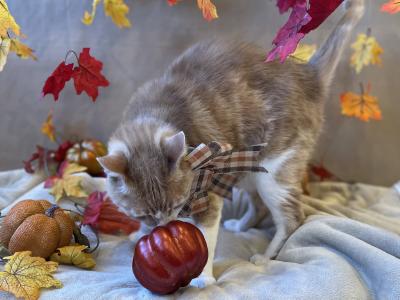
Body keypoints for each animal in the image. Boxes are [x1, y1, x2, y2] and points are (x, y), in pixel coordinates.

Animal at [98, 0, 364, 290]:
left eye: (176, 204)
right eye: (143, 215)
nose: (164, 226)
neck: (156, 111)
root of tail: (308, 74)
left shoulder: (208, 193)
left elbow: (206, 235)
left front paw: (203, 277)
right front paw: (141, 233)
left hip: (274, 173)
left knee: (293, 218)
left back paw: (267, 257)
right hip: (246, 169)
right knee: (259, 206)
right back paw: (242, 226)